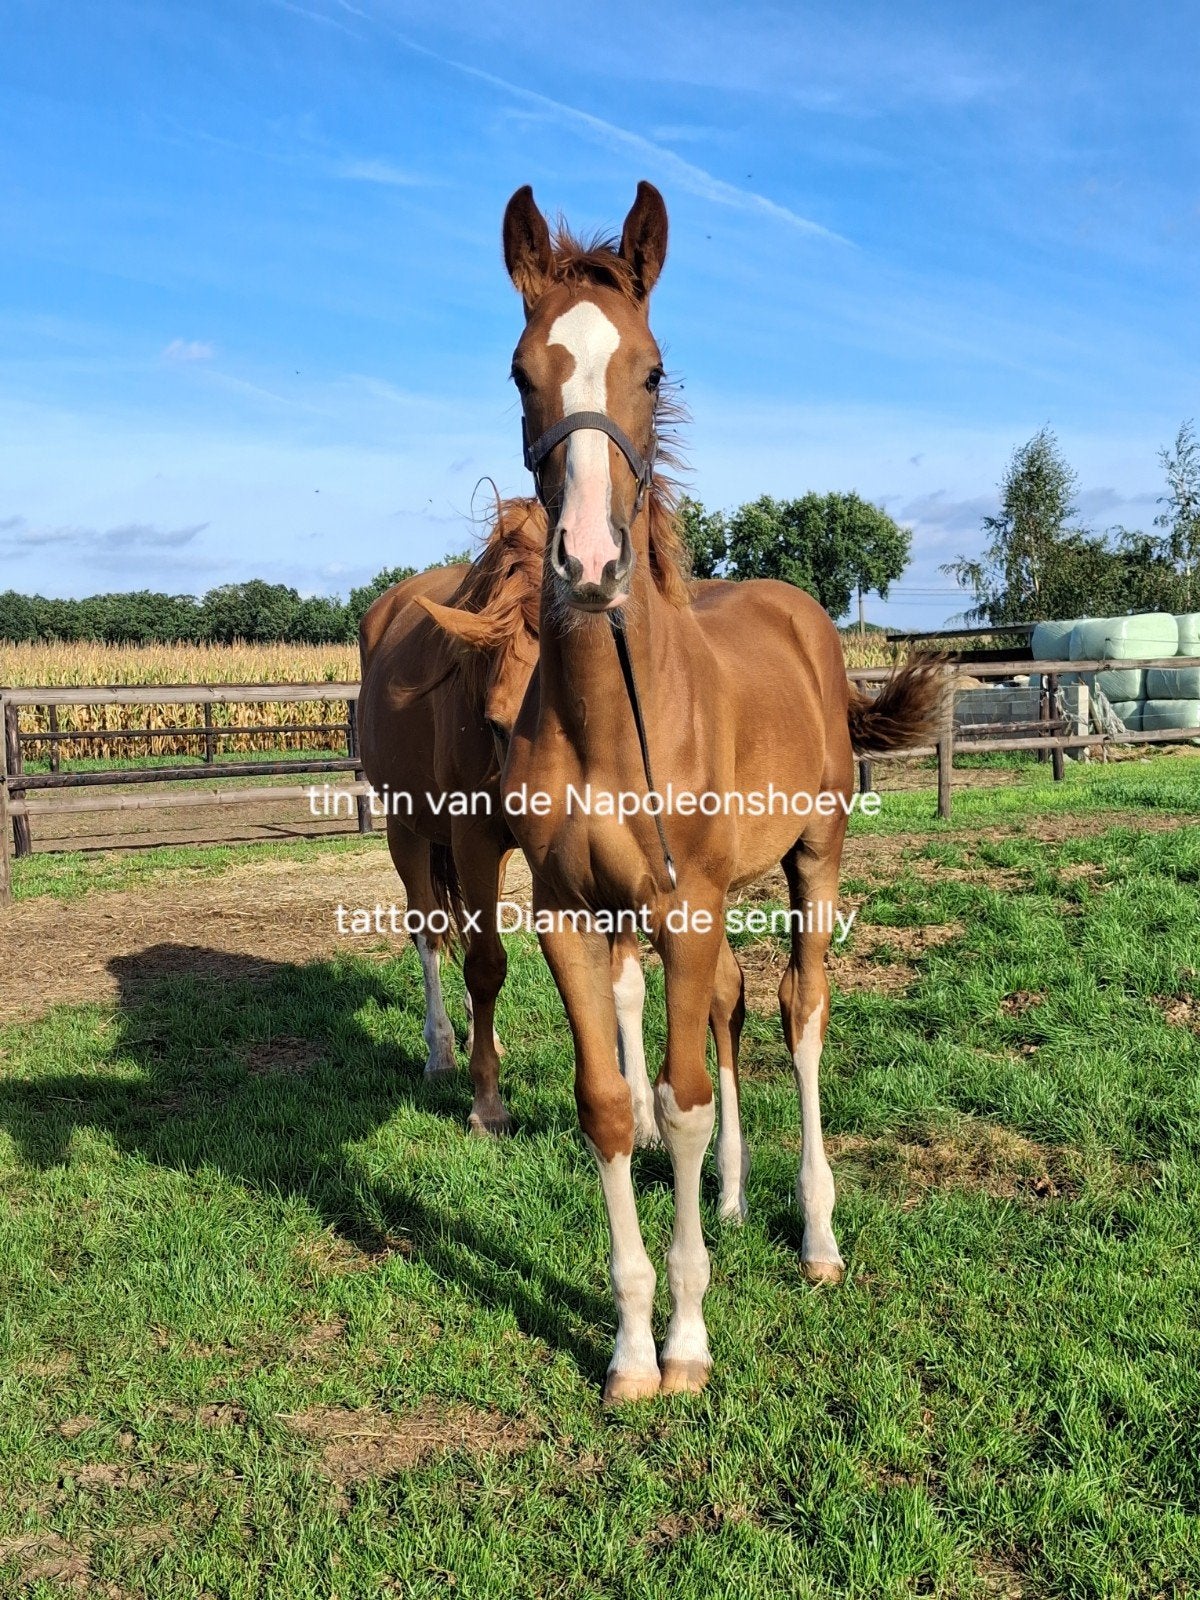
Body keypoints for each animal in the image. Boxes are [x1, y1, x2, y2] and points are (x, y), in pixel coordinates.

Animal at [490, 181, 943, 1402]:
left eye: (652, 370)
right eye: (522, 372)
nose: (589, 565)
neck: (612, 722)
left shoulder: (685, 909)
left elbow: (681, 1104)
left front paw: (688, 1340)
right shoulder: (571, 916)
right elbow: (615, 1105)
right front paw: (628, 1349)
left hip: (810, 859)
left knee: (799, 1012)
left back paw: (818, 1233)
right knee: (738, 1008)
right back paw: (740, 1202)